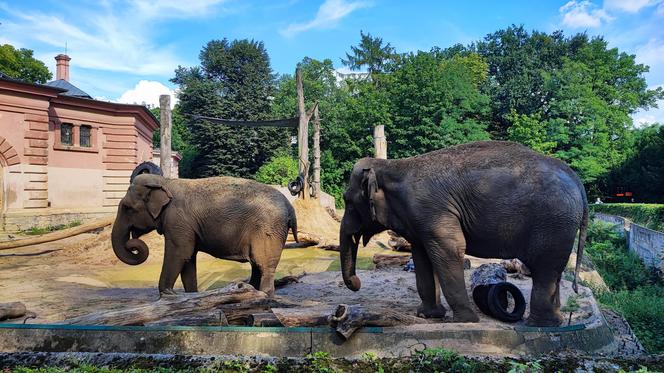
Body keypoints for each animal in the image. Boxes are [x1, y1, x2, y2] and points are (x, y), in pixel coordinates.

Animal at [110, 172, 296, 296]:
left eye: (127, 208)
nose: (133, 242)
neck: (166, 182)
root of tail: (290, 207)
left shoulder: (177, 221)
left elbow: (179, 253)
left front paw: (167, 295)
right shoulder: (185, 226)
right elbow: (188, 259)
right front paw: (191, 296)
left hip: (268, 230)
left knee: (264, 265)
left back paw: (264, 296)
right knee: (257, 265)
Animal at [340, 141, 588, 324]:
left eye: (348, 202)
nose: (356, 283)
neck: (391, 166)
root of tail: (577, 180)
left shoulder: (433, 212)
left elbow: (450, 248)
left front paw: (464, 321)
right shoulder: (419, 220)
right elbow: (422, 256)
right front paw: (428, 315)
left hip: (553, 223)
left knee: (544, 269)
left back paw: (539, 324)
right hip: (560, 226)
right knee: (554, 270)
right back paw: (556, 320)